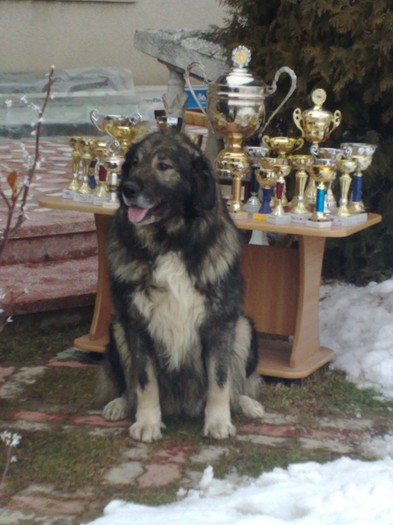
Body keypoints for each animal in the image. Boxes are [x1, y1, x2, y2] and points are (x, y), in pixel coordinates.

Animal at [101, 129, 264, 440]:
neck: (170, 241)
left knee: (236, 385)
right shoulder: (136, 323)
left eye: (164, 166)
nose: (127, 188)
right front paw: (148, 422)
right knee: (128, 386)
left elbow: (220, 378)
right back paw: (120, 404)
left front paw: (218, 421)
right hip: (116, 328)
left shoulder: (220, 322)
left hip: (244, 326)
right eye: (134, 163)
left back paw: (247, 404)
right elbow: (144, 381)